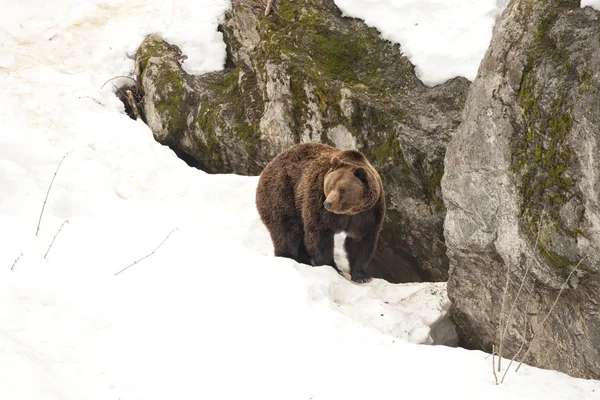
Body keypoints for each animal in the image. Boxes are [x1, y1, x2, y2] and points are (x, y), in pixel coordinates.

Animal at [253, 142, 384, 282]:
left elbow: (361, 241)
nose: (328, 203)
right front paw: (332, 267)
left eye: (342, 190)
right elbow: (319, 234)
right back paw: (288, 256)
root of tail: (270, 164)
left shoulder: (368, 213)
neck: (348, 212)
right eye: (330, 186)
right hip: (282, 193)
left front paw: (362, 276)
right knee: (286, 229)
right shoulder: (318, 203)